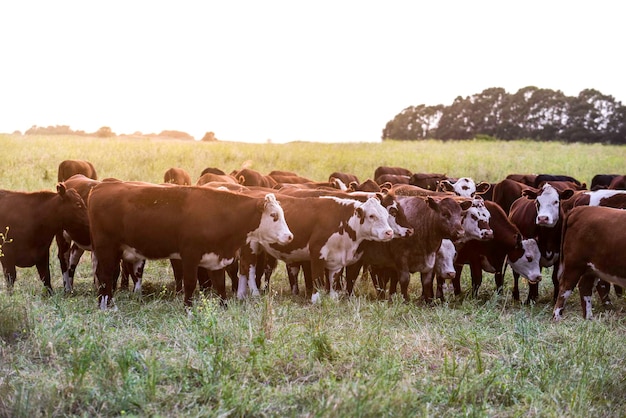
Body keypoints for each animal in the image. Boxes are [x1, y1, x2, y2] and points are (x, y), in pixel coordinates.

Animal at [87, 181, 292, 308]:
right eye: (274, 216)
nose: (289, 236)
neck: (219, 213)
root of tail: (100, 187)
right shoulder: (190, 255)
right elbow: (191, 284)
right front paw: (188, 309)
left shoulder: (215, 258)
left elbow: (220, 285)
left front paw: (224, 307)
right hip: (107, 248)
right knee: (106, 275)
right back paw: (108, 306)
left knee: (102, 275)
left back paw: (102, 304)